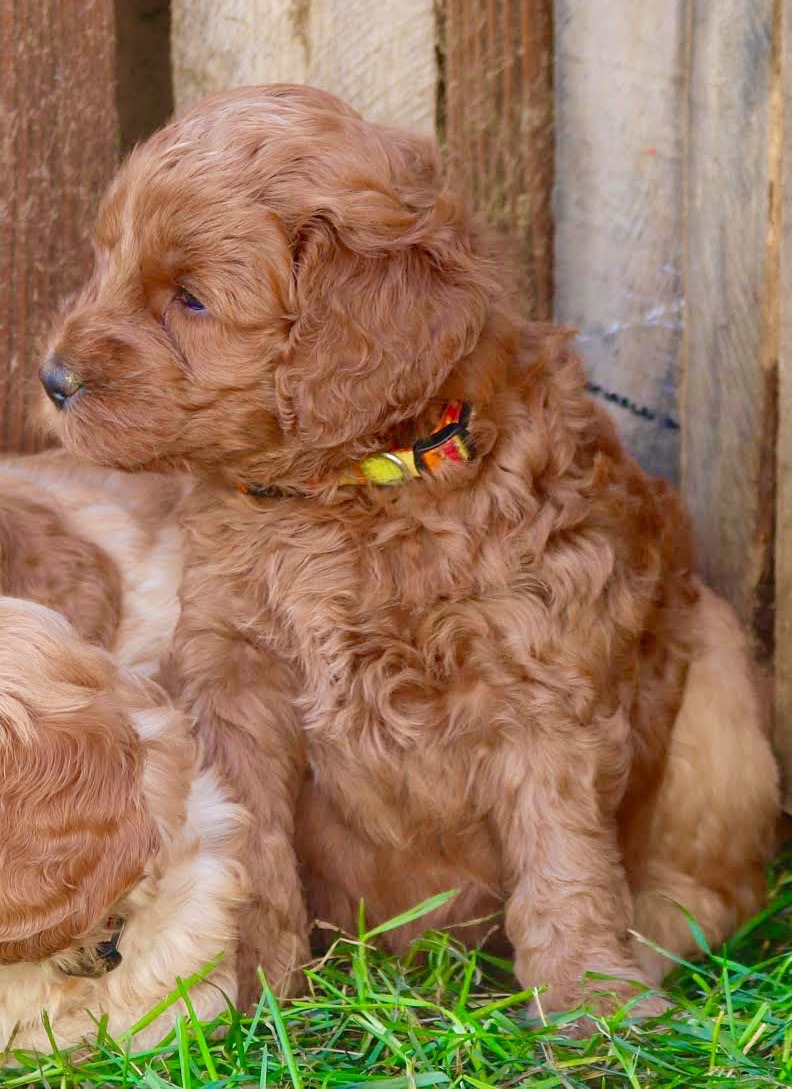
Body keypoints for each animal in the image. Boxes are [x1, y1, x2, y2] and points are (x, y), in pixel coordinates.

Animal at [40, 82, 775, 1010]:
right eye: (107, 260)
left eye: (193, 299)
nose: (52, 379)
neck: (350, 489)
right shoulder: (234, 673)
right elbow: (253, 847)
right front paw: (249, 987)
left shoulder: (540, 687)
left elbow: (563, 858)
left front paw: (588, 1004)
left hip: (719, 681)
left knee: (708, 885)